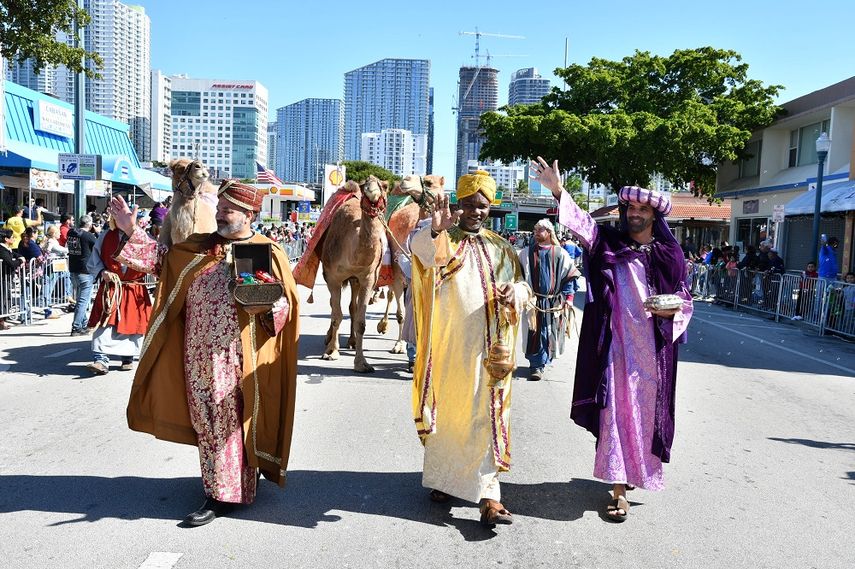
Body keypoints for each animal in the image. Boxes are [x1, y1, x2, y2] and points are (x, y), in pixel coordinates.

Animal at [320, 176, 390, 372]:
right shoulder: (333, 278)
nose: (371, 190)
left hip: (355, 281)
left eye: (385, 186)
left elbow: (361, 321)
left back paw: (351, 341)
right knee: (334, 306)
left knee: (353, 306)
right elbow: (336, 315)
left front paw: (362, 363)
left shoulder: (368, 279)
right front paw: (331, 352)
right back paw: (328, 339)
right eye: (364, 184)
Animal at [374, 173, 442, 352]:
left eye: (429, 182)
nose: (406, 180)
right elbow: (401, 314)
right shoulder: (398, 275)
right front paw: (399, 345)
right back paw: (383, 325)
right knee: (391, 295)